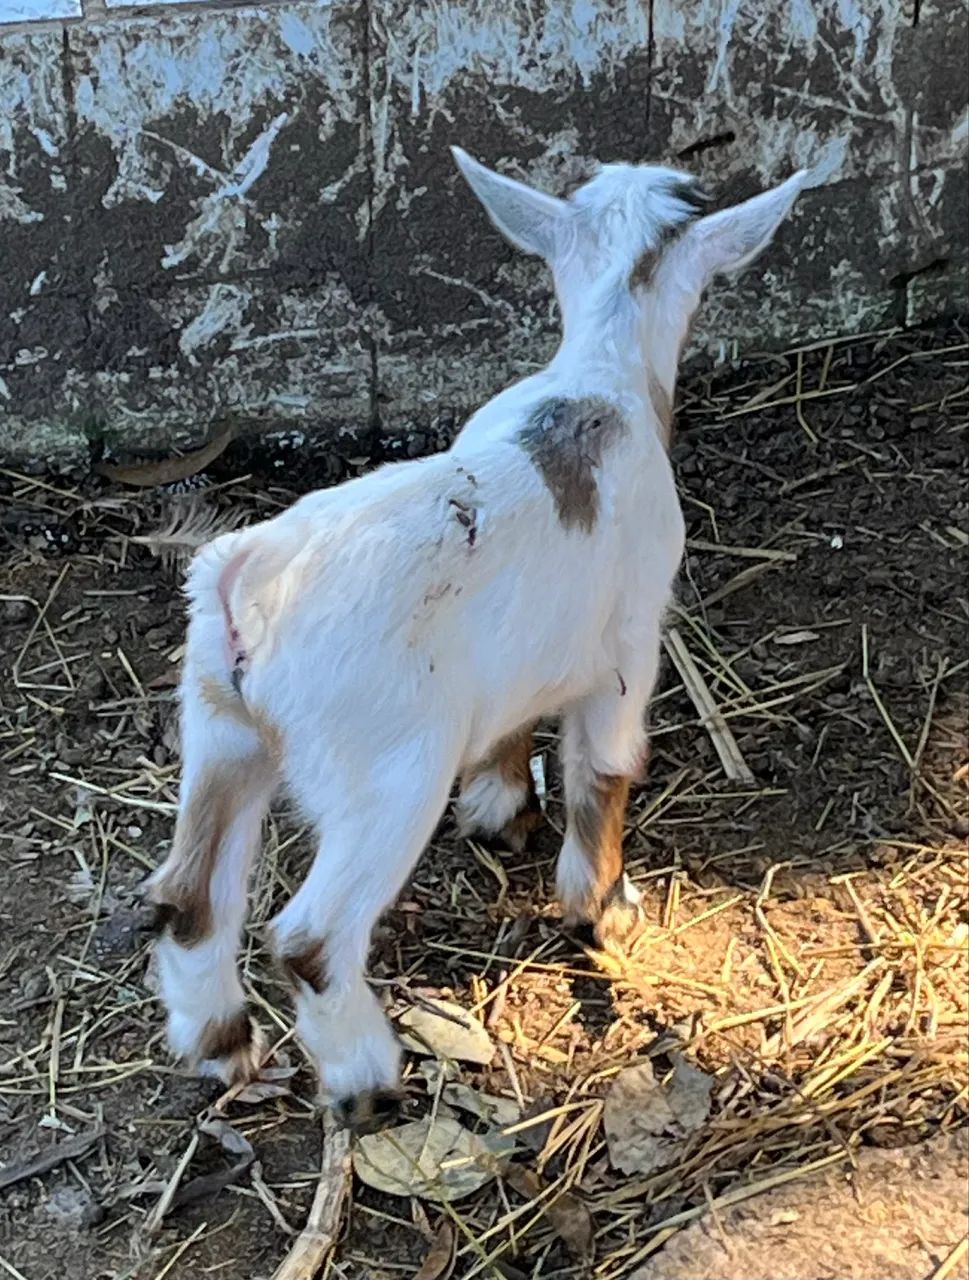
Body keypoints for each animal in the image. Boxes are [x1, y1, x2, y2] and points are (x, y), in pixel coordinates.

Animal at [147, 147, 822, 1129]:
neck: (599, 378)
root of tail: (251, 578)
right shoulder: (631, 640)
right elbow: (607, 768)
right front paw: (601, 911)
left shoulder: (523, 653)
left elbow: (516, 719)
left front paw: (502, 809)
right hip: (386, 769)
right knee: (310, 939)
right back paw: (365, 1081)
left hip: (219, 727)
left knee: (189, 897)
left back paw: (220, 1047)